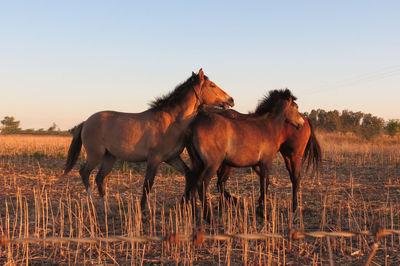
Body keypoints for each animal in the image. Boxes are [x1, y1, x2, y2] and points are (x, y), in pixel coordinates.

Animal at [63, 68, 234, 212]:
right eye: (212, 85)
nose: (231, 100)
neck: (171, 120)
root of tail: (86, 122)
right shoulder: (154, 159)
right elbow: (147, 184)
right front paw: (143, 211)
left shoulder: (172, 158)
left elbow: (189, 174)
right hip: (95, 155)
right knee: (84, 172)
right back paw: (92, 204)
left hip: (109, 157)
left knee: (100, 178)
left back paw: (108, 210)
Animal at [186, 88, 304, 219]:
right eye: (296, 107)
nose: (302, 123)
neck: (268, 126)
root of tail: (194, 126)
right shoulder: (266, 162)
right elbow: (265, 183)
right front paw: (263, 213)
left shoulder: (257, 164)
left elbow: (263, 184)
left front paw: (259, 209)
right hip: (212, 164)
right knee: (202, 184)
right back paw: (209, 217)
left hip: (198, 163)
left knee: (192, 185)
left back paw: (194, 216)